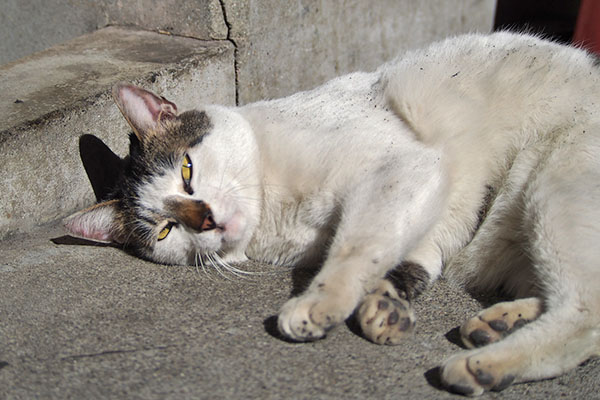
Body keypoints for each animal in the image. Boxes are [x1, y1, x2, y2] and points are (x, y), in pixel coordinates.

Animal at [63, 32, 600, 396]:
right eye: (165, 231)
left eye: (188, 171)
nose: (205, 220)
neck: (278, 217)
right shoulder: (429, 213)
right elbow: (405, 257)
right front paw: (384, 307)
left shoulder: (404, 169)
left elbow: (357, 246)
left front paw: (322, 303)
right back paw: (497, 325)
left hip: (554, 190)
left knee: (584, 315)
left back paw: (480, 366)